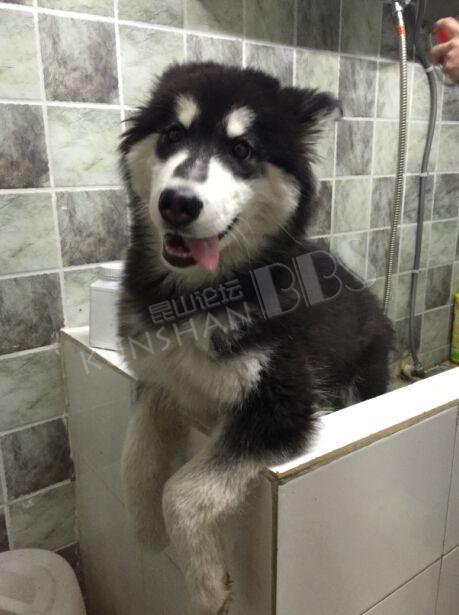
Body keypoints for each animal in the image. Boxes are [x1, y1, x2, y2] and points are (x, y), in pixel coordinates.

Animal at [119, 62, 394, 614]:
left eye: (243, 149)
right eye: (173, 133)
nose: (177, 203)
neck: (197, 296)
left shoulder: (281, 407)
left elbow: (182, 491)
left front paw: (206, 584)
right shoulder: (162, 379)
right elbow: (133, 459)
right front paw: (146, 531)